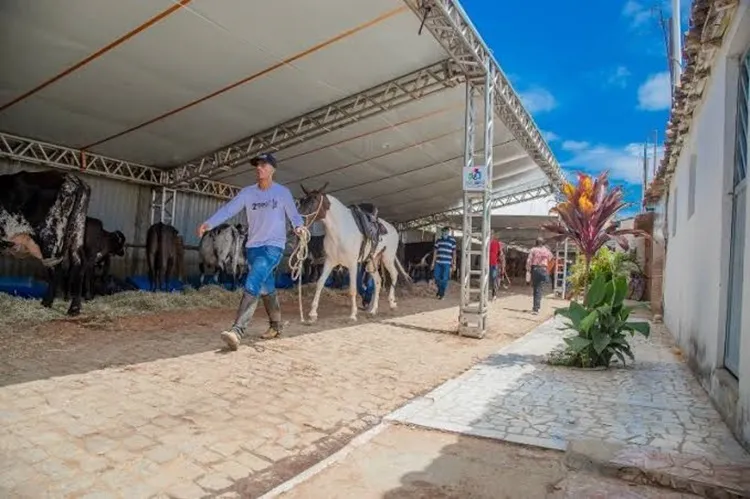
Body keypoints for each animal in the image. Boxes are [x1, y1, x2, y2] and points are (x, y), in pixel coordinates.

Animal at [0, 170, 90, 314]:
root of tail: (73, 179)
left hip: (51, 236)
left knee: (56, 269)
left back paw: (47, 302)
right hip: (77, 231)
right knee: (79, 263)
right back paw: (74, 308)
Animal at [296, 184, 412, 324]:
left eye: (313, 201)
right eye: (302, 201)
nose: (298, 225)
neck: (340, 230)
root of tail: (393, 229)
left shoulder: (352, 264)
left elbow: (352, 289)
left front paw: (353, 314)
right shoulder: (330, 262)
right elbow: (320, 283)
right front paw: (313, 313)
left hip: (387, 258)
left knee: (394, 275)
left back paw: (391, 303)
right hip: (372, 262)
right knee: (378, 281)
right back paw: (373, 310)